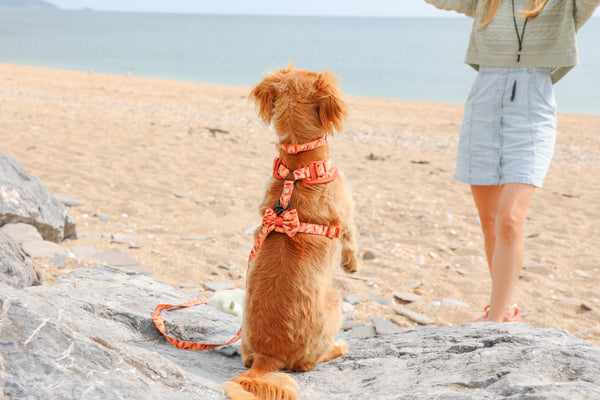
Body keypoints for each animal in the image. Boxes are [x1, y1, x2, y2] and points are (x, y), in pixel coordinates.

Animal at [223, 65, 358, 400]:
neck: (298, 169)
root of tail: (267, 358)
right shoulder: (347, 212)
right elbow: (351, 238)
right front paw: (352, 264)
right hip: (335, 304)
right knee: (309, 363)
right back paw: (338, 347)